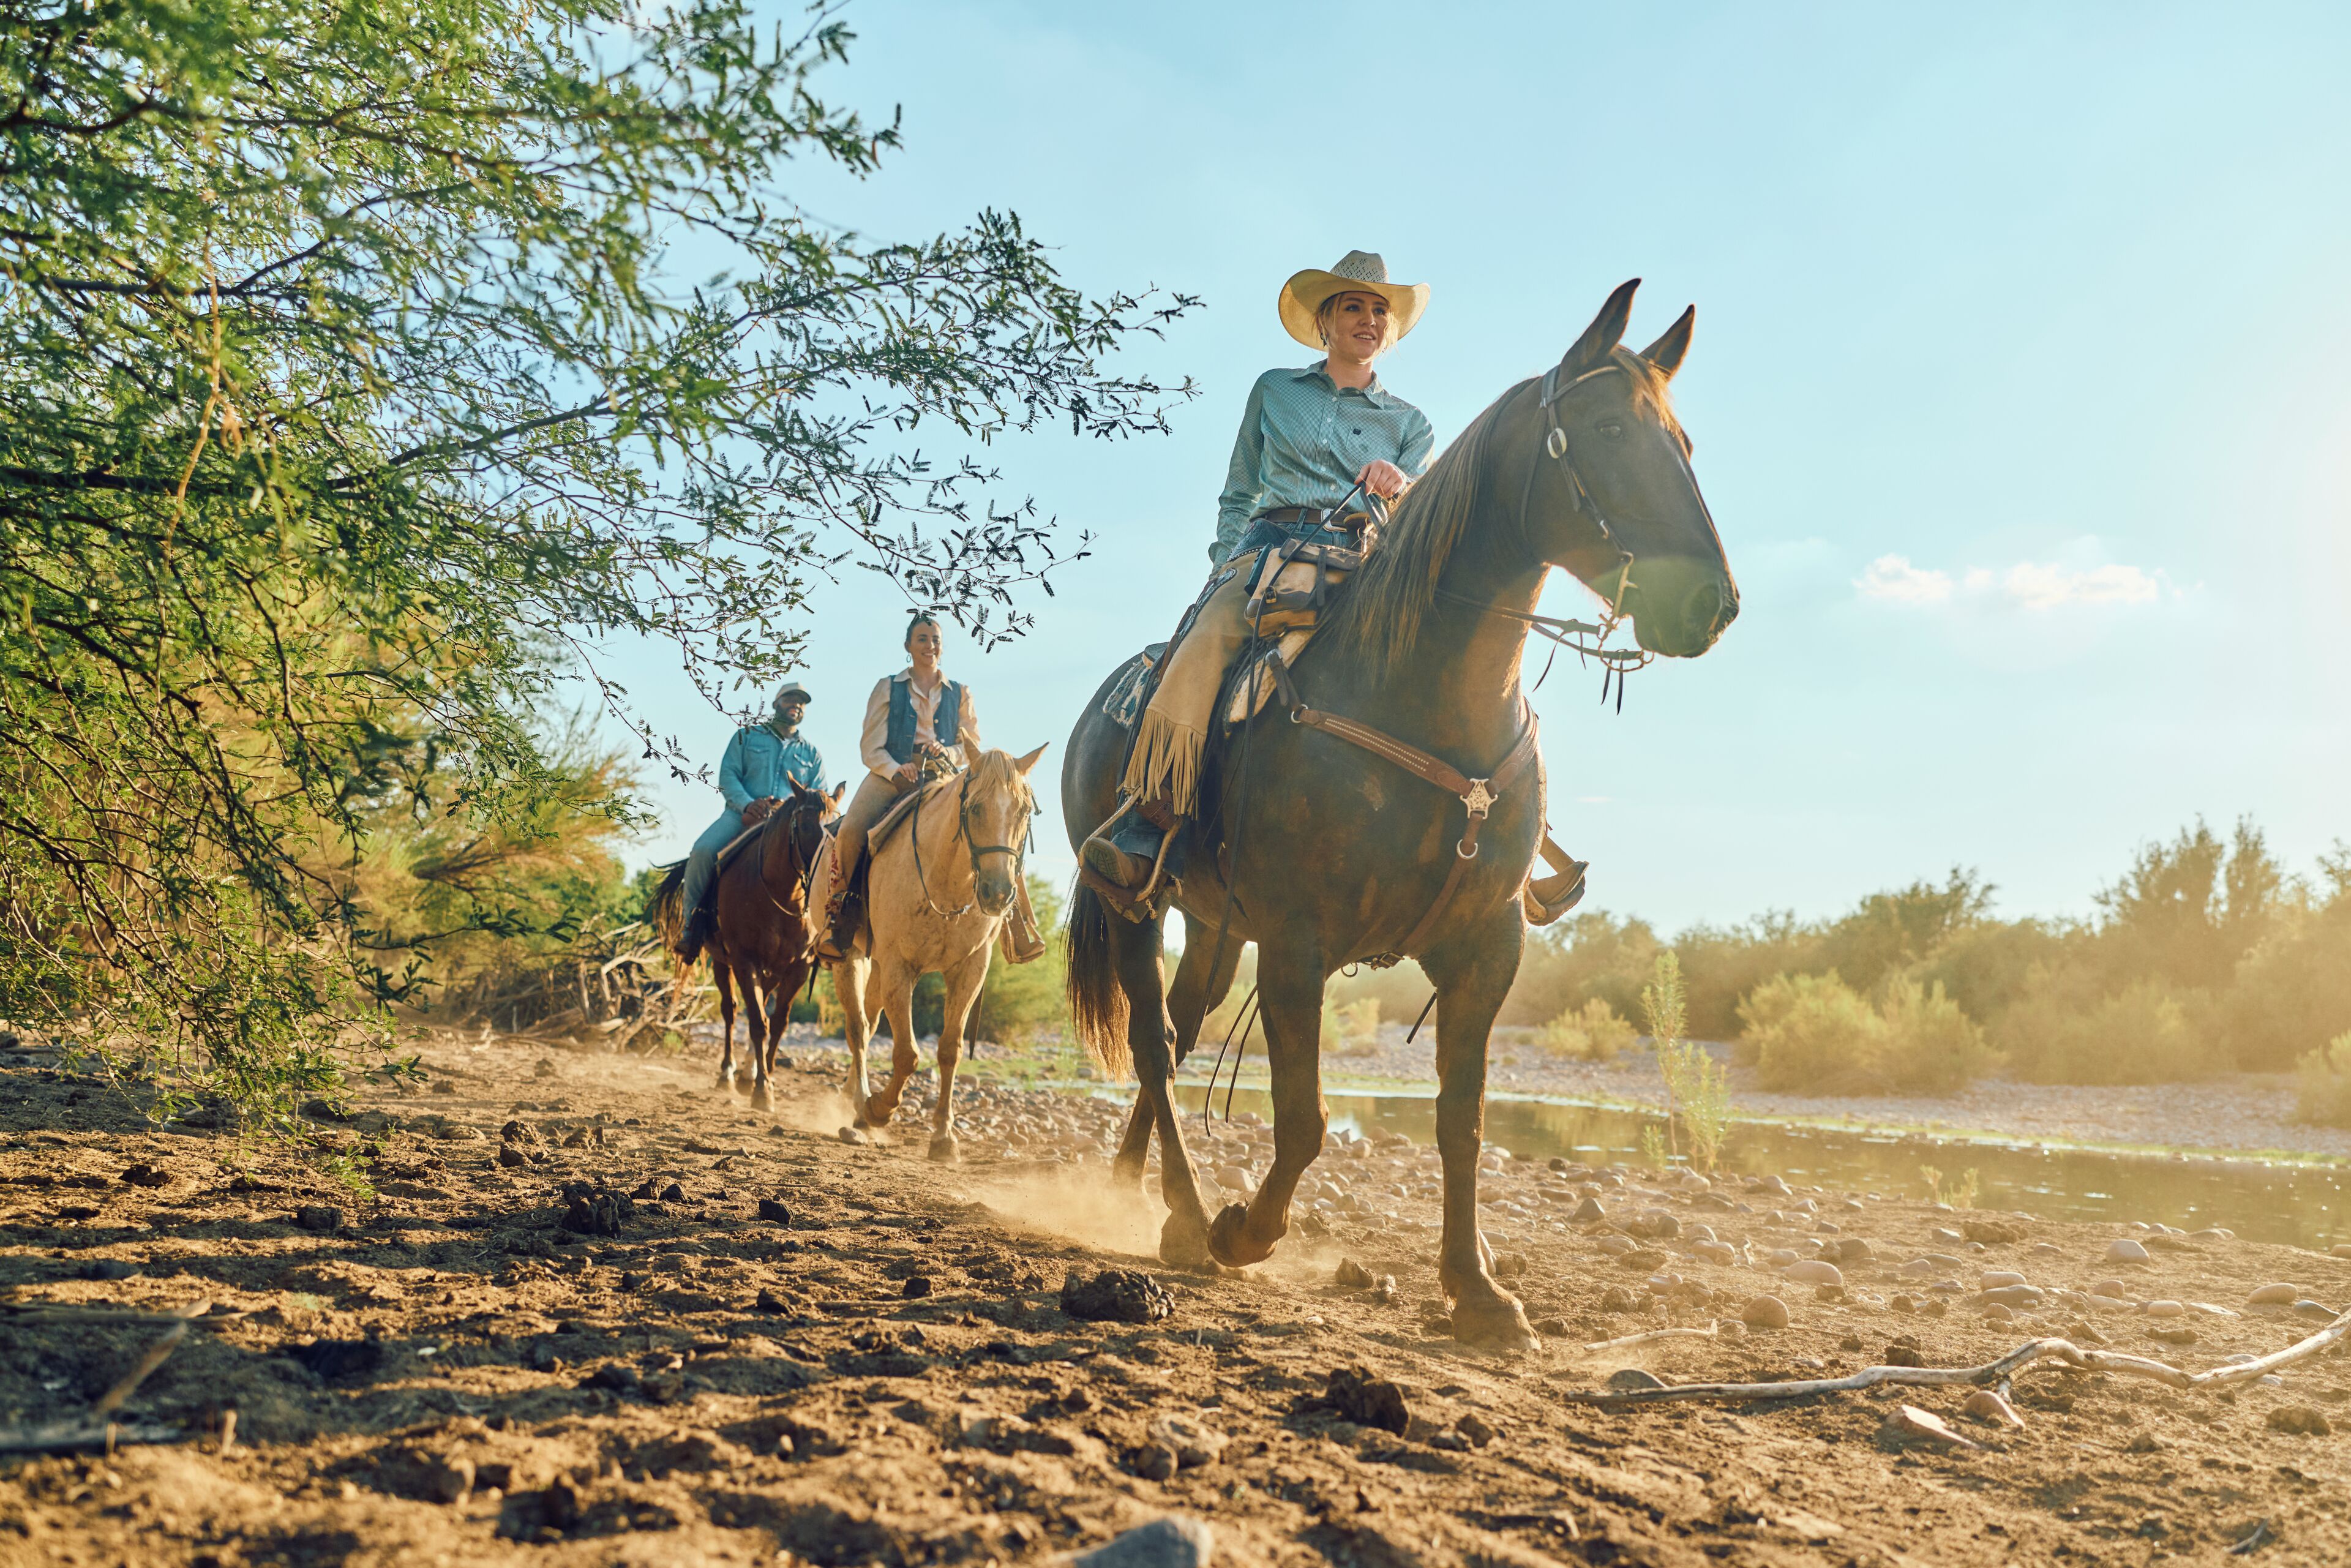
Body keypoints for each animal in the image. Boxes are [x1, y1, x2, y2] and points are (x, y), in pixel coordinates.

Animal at [651, 778, 839, 1111]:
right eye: (805, 825)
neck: (780, 897)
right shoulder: (743, 961)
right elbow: (756, 1023)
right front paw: (763, 1090)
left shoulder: (798, 968)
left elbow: (777, 1023)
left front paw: (767, 1078)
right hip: (722, 962)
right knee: (731, 1011)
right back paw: (728, 1074)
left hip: (771, 971)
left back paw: (746, 1074)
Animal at [822, 745, 1048, 1159]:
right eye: (974, 808)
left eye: (1024, 811)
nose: (997, 893)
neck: (946, 882)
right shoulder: (901, 968)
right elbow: (907, 1054)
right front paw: (880, 1109)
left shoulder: (970, 970)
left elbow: (949, 1051)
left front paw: (944, 1137)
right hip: (851, 959)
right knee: (858, 1029)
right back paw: (861, 1101)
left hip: (877, 966)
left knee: (870, 1023)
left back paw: (853, 1101)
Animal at [1060, 280, 1738, 1349]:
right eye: (1601, 428)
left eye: (1684, 441)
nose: (1712, 603)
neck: (1418, 697)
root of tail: (1105, 704)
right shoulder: (1298, 945)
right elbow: (1305, 1120)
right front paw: (1245, 1229)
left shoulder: (1487, 947)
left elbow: (1462, 1120)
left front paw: (1479, 1291)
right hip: (1138, 904)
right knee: (1155, 1048)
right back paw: (1188, 1212)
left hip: (1213, 926)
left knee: (1177, 1030)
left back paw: (1145, 1192)